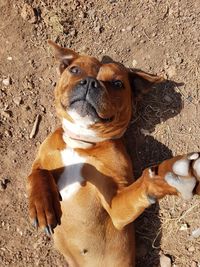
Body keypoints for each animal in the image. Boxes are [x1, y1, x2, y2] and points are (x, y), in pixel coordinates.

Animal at [27, 40, 200, 267]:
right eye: (75, 70)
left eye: (117, 84)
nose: (90, 82)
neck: (82, 141)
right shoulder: (41, 160)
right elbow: (37, 174)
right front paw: (42, 205)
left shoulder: (116, 207)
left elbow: (142, 183)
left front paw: (169, 175)